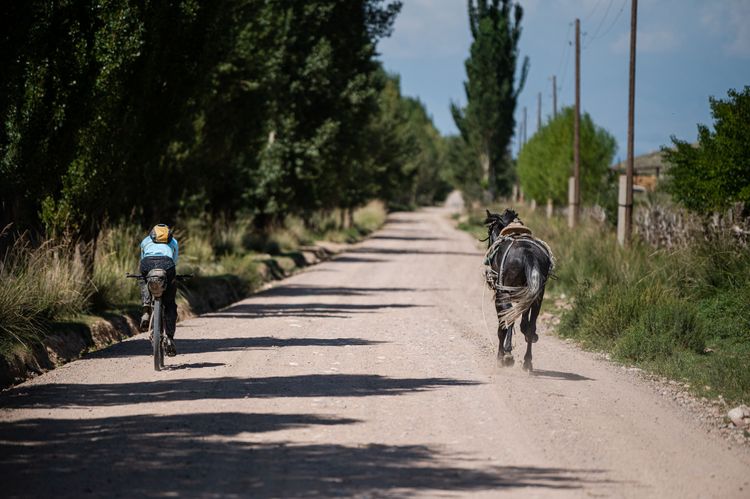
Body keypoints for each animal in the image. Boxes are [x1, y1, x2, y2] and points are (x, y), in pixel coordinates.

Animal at [484, 210, 556, 372]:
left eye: (490, 230)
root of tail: (529, 254)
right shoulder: (526, 296)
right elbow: (523, 322)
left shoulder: (501, 295)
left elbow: (504, 323)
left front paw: (505, 354)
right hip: (537, 296)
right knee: (530, 325)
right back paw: (527, 361)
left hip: (504, 293)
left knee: (507, 321)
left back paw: (504, 356)